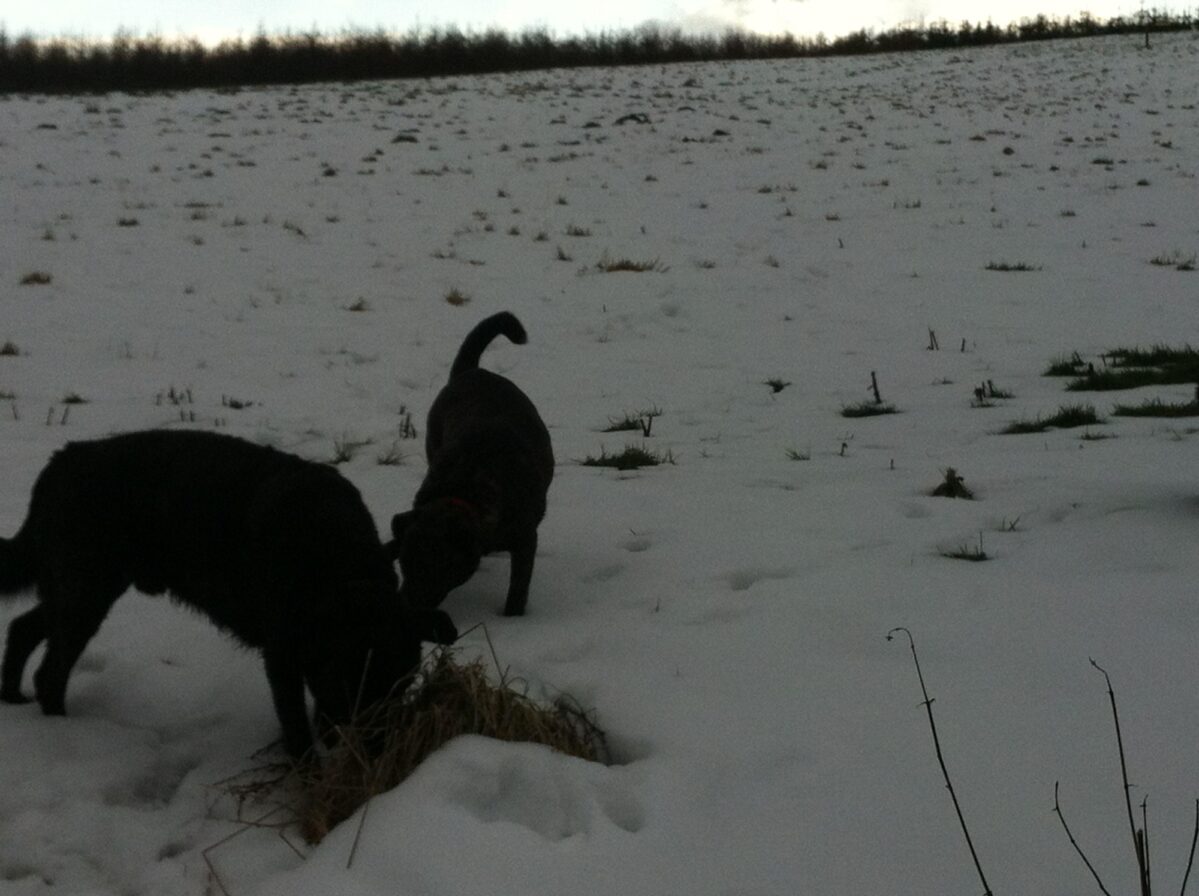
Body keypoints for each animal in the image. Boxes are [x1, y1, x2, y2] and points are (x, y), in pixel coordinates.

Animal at [0, 431, 455, 762]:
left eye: (401, 686)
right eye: (348, 686)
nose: (378, 754)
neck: (335, 562)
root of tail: (60, 462)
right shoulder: (283, 659)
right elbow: (297, 731)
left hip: (78, 589)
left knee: (23, 628)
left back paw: (12, 697)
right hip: (85, 590)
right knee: (50, 671)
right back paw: (62, 730)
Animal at [390, 309, 553, 618]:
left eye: (437, 567)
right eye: (404, 562)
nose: (405, 606)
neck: (465, 489)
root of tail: (470, 370)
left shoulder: (525, 539)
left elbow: (518, 587)